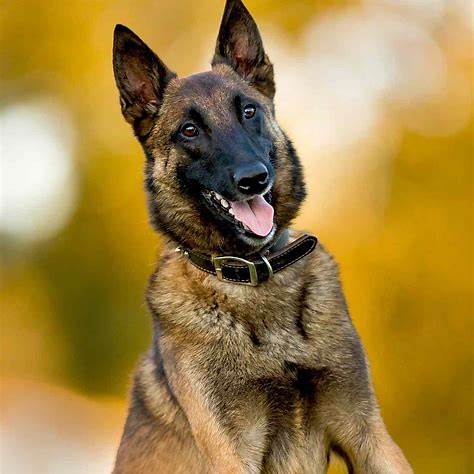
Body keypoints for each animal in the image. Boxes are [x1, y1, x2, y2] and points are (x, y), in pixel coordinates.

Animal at [113, 1, 412, 472]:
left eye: (249, 112)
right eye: (189, 130)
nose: (253, 179)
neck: (254, 276)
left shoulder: (368, 435)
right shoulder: (232, 451)